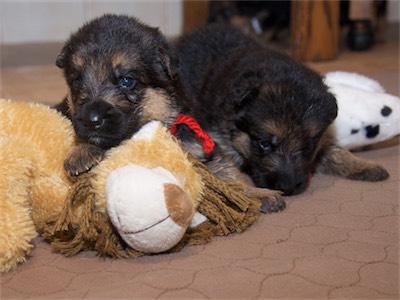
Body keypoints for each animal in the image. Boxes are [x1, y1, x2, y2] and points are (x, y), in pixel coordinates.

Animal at [173, 24, 390, 206]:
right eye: (264, 144)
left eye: (308, 146)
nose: (288, 188)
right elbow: (226, 171)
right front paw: (256, 194)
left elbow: (336, 151)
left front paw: (363, 164)